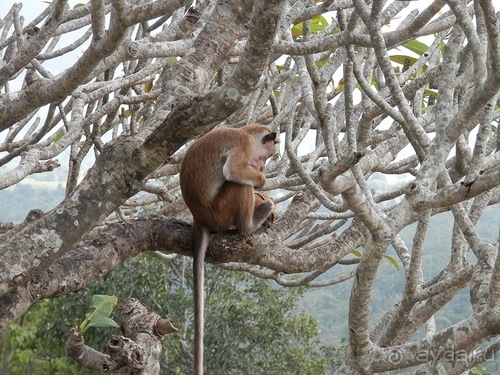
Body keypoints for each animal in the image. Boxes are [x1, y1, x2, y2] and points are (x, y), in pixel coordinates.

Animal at [180, 124, 280, 375]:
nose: (262, 167)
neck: (246, 131)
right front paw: (261, 181)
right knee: (238, 184)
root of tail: (199, 218)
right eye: (266, 157)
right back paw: (251, 224)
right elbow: (233, 171)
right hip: (221, 212)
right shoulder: (242, 144)